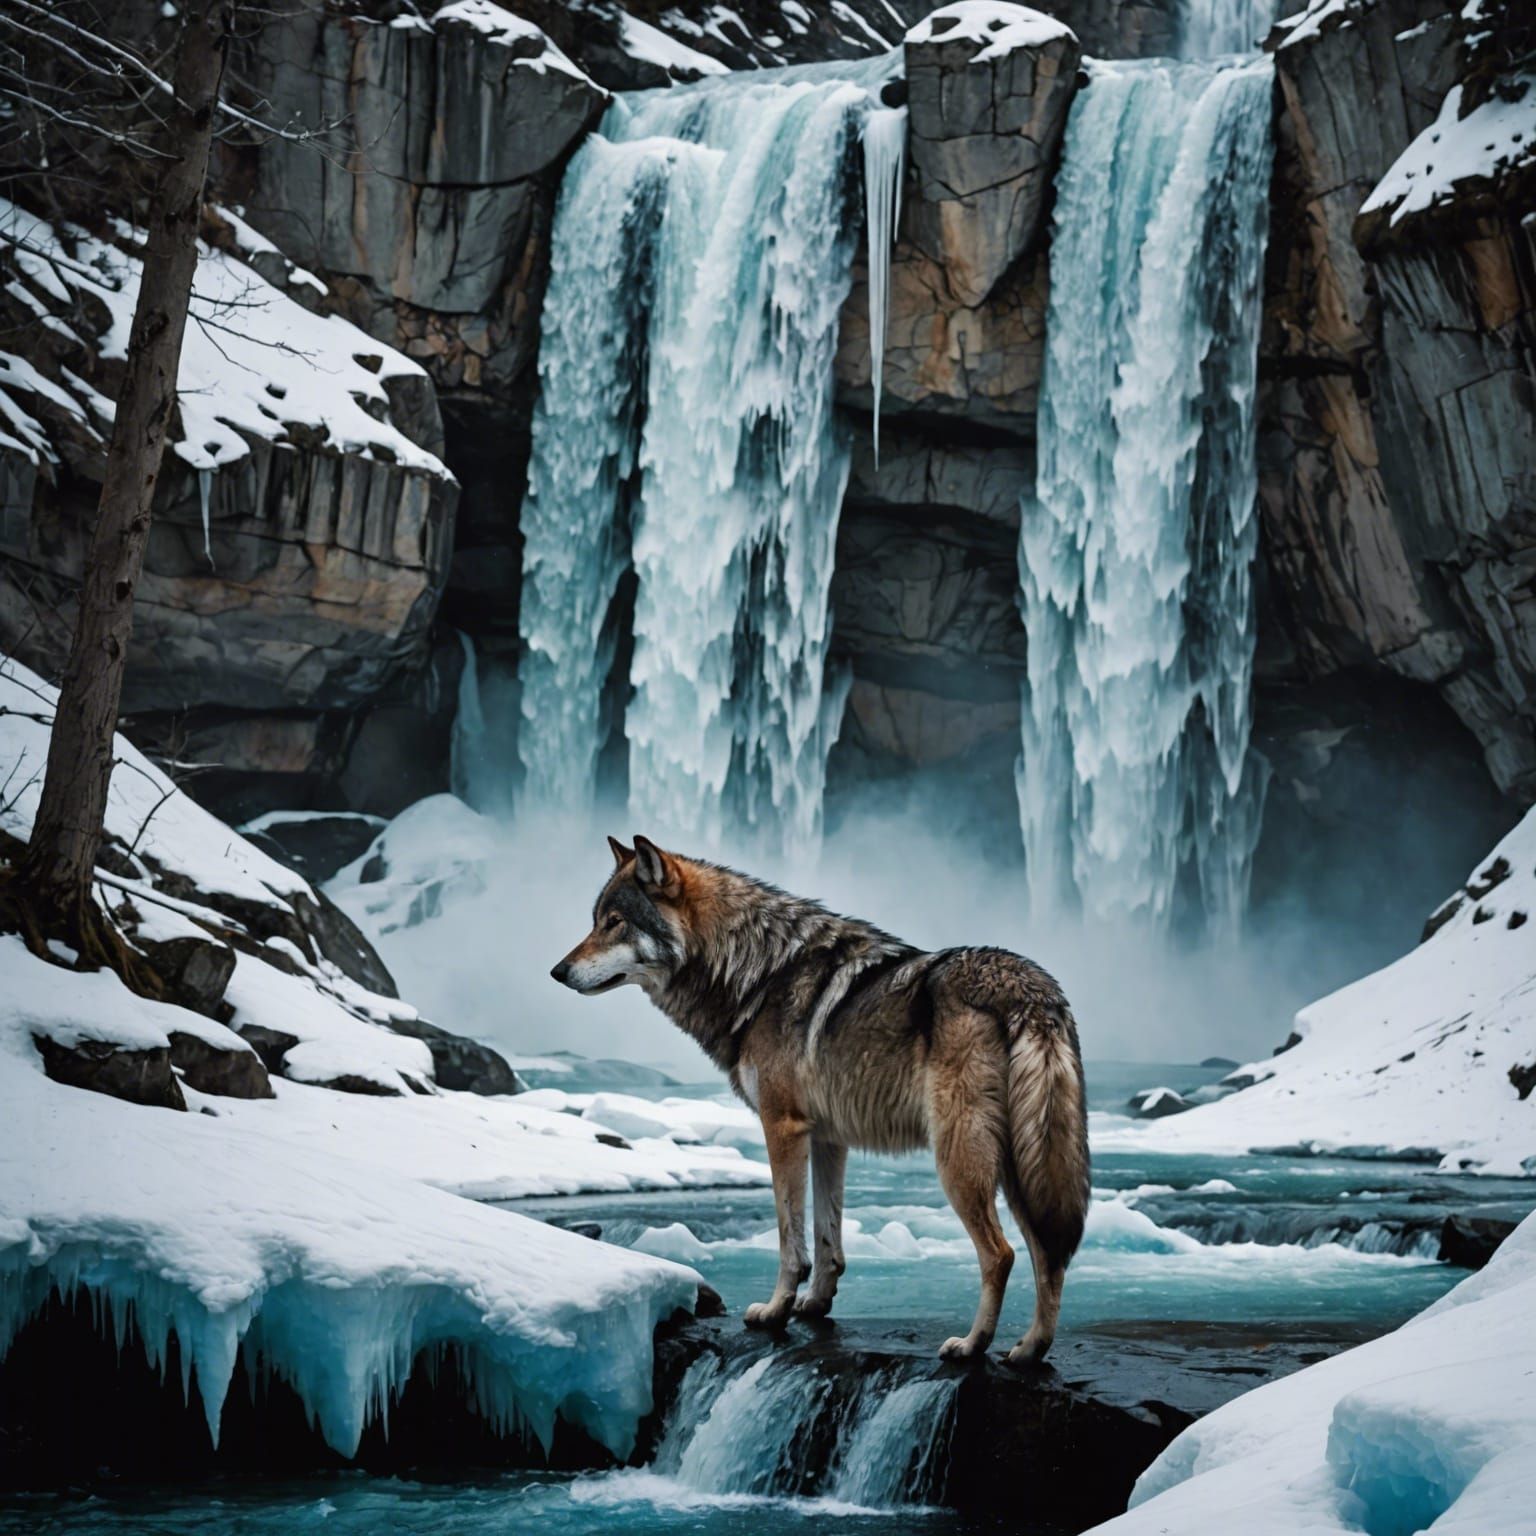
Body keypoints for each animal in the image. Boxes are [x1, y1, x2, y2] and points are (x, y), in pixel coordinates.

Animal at [551, 835, 1091, 1364]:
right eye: (596, 920)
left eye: (614, 922)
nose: (557, 971)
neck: (756, 973)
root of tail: (1028, 989)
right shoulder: (828, 1137)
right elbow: (827, 1237)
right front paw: (815, 1304)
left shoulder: (782, 1126)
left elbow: (791, 1237)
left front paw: (775, 1311)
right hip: (1024, 1167)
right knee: (1050, 1252)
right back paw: (1029, 1348)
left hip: (961, 1160)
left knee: (1001, 1253)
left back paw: (972, 1344)